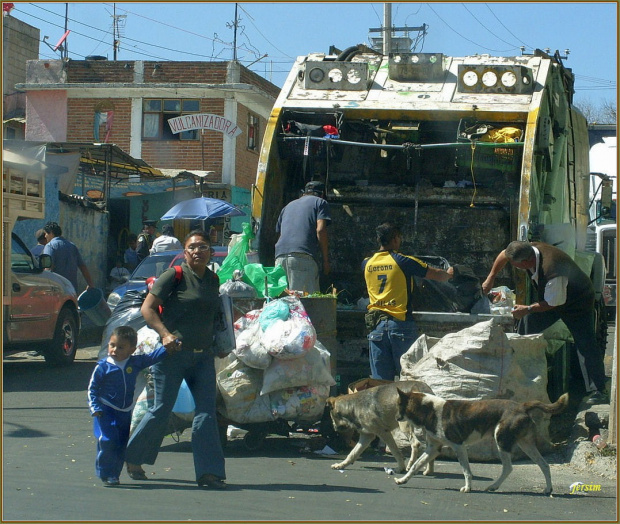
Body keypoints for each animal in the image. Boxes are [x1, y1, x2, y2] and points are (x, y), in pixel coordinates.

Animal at [394, 388, 568, 496]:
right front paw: (403, 480)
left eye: (398, 405)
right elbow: (415, 466)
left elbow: (466, 471)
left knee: (508, 467)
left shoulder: (458, 446)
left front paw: (467, 488)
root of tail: (521, 406)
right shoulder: (433, 448)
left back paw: (494, 486)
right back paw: (548, 489)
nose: (396, 418)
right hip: (526, 445)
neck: (429, 410)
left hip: (501, 441)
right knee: (544, 464)